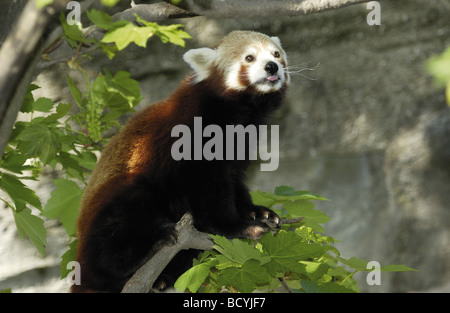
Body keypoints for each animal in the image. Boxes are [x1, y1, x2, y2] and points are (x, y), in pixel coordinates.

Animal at [70, 30, 288, 292]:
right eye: (249, 57)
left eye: (276, 54)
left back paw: (163, 278)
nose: (271, 66)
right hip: (122, 198)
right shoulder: (192, 140)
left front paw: (257, 212)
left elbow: (234, 181)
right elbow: (210, 191)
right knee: (118, 224)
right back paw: (140, 255)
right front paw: (236, 226)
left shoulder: (239, 147)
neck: (239, 112)